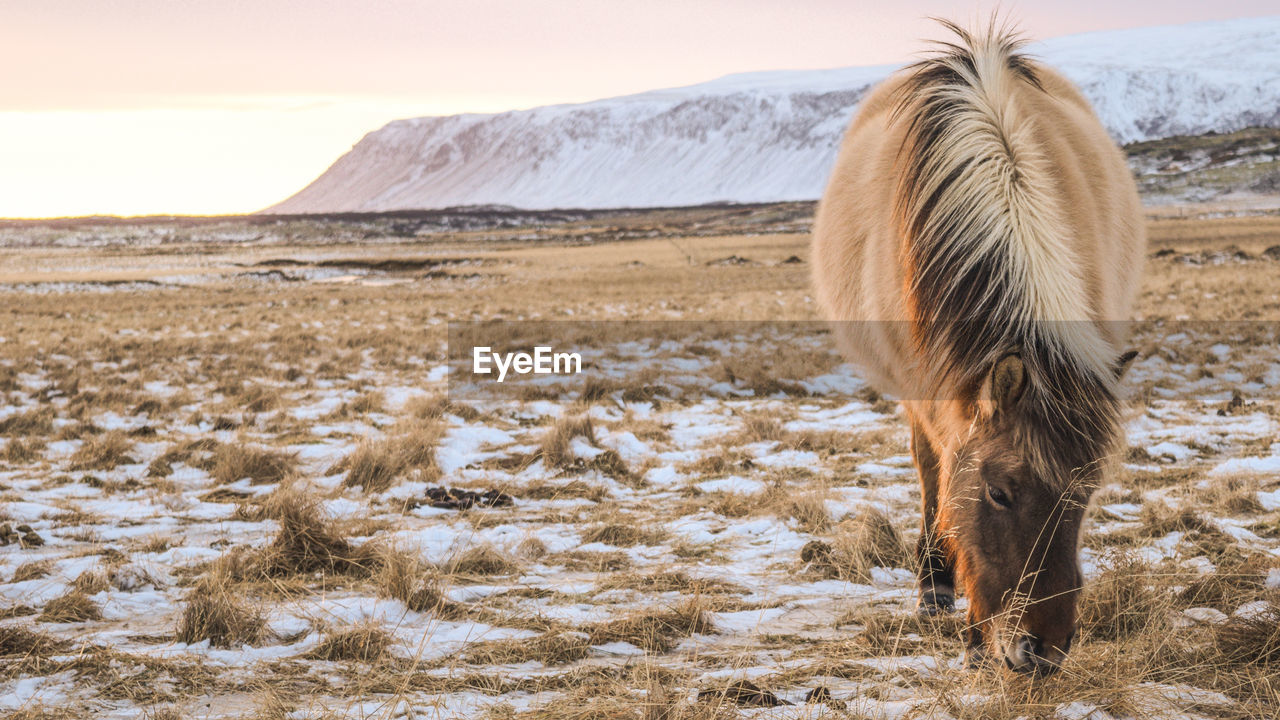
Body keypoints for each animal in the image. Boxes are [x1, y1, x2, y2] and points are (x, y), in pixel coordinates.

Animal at [808, 20, 1141, 671]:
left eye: (1087, 495)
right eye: (999, 493)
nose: (1042, 653)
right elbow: (944, 483)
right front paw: (964, 622)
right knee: (930, 470)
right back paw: (936, 585)